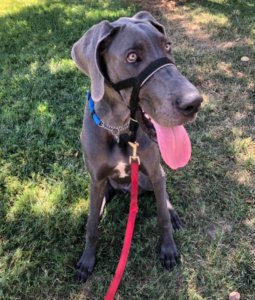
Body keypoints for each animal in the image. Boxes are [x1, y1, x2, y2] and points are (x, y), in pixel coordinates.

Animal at [70, 9, 202, 282]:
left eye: (167, 46)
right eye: (132, 57)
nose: (194, 103)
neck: (119, 130)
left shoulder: (154, 170)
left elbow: (162, 216)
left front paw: (168, 250)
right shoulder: (96, 180)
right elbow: (91, 226)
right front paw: (87, 261)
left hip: (153, 177)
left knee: (163, 197)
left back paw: (173, 213)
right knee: (97, 209)